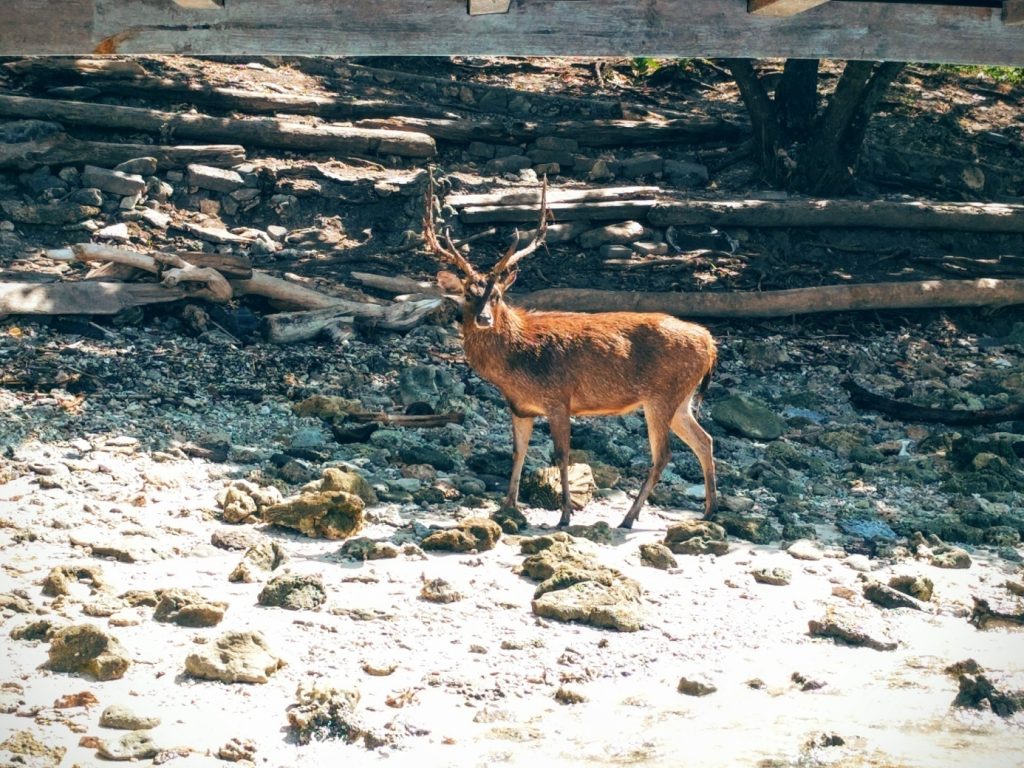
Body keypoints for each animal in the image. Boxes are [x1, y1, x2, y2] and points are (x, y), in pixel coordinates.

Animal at [424, 172, 718, 529]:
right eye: (468, 294)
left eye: (497, 295)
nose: (483, 319)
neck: (515, 361)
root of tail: (710, 343)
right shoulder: (520, 407)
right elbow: (518, 452)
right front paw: (507, 506)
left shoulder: (558, 397)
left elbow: (562, 455)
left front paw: (564, 514)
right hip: (681, 398)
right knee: (705, 440)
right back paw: (708, 510)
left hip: (662, 394)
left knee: (664, 454)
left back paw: (629, 517)